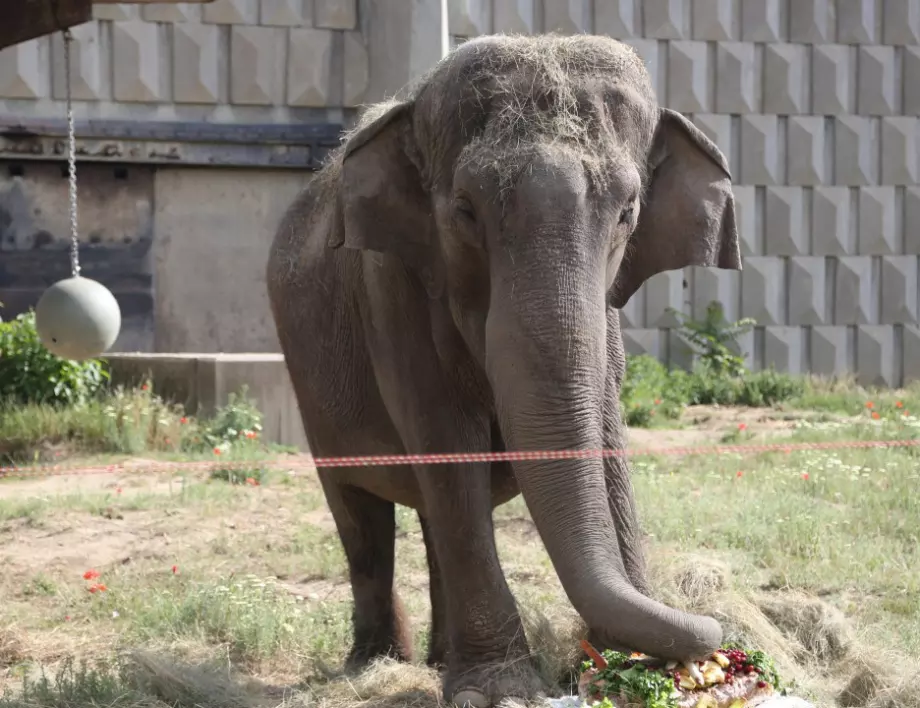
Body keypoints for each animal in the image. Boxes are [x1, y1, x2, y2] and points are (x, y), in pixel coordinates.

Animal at [266, 31, 740, 708]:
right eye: (465, 211)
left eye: (628, 211)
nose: (712, 623)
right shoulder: (392, 290)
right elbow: (447, 443)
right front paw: (500, 690)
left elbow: (605, 436)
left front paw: (628, 667)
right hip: (309, 383)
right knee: (362, 517)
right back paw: (374, 664)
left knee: (428, 518)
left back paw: (437, 659)